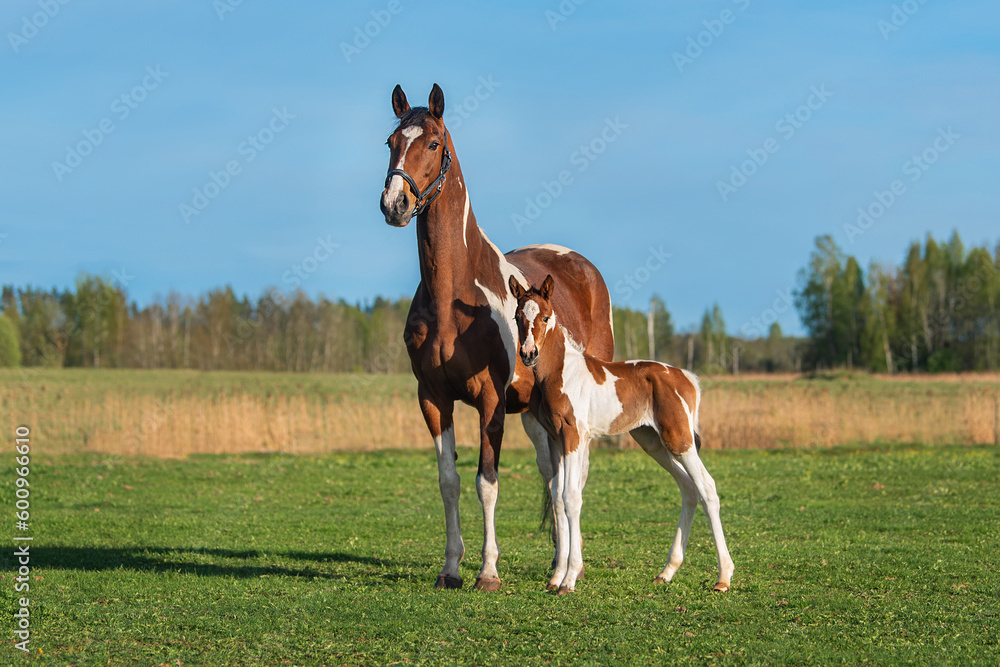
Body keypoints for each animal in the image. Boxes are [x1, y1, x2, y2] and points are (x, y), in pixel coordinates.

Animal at [379, 84, 615, 591]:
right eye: (391, 141)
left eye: (433, 143)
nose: (394, 204)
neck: (452, 297)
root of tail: (582, 267)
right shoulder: (433, 398)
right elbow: (449, 481)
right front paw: (451, 568)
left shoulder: (489, 401)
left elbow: (486, 482)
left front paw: (488, 570)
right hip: (536, 414)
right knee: (554, 479)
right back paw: (557, 562)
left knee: (575, 478)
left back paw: (574, 566)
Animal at [509, 275, 735, 594]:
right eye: (518, 317)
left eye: (545, 316)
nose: (529, 355)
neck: (561, 373)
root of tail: (688, 378)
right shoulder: (556, 440)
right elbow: (557, 498)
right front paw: (556, 578)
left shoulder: (575, 437)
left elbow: (571, 497)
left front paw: (569, 579)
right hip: (653, 442)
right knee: (689, 488)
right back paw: (667, 571)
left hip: (679, 439)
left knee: (707, 488)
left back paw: (723, 577)